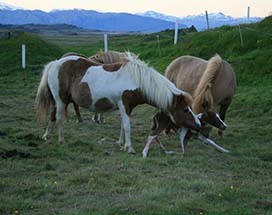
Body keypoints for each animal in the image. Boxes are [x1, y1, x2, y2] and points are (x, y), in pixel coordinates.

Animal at [35, 52, 201, 155]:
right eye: (185, 109)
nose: (198, 125)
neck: (136, 80)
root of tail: (55, 63)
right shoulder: (124, 105)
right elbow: (127, 126)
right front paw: (130, 148)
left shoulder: (127, 107)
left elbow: (122, 125)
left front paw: (122, 144)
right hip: (61, 100)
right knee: (59, 118)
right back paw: (61, 140)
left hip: (59, 101)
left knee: (52, 116)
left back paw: (47, 136)